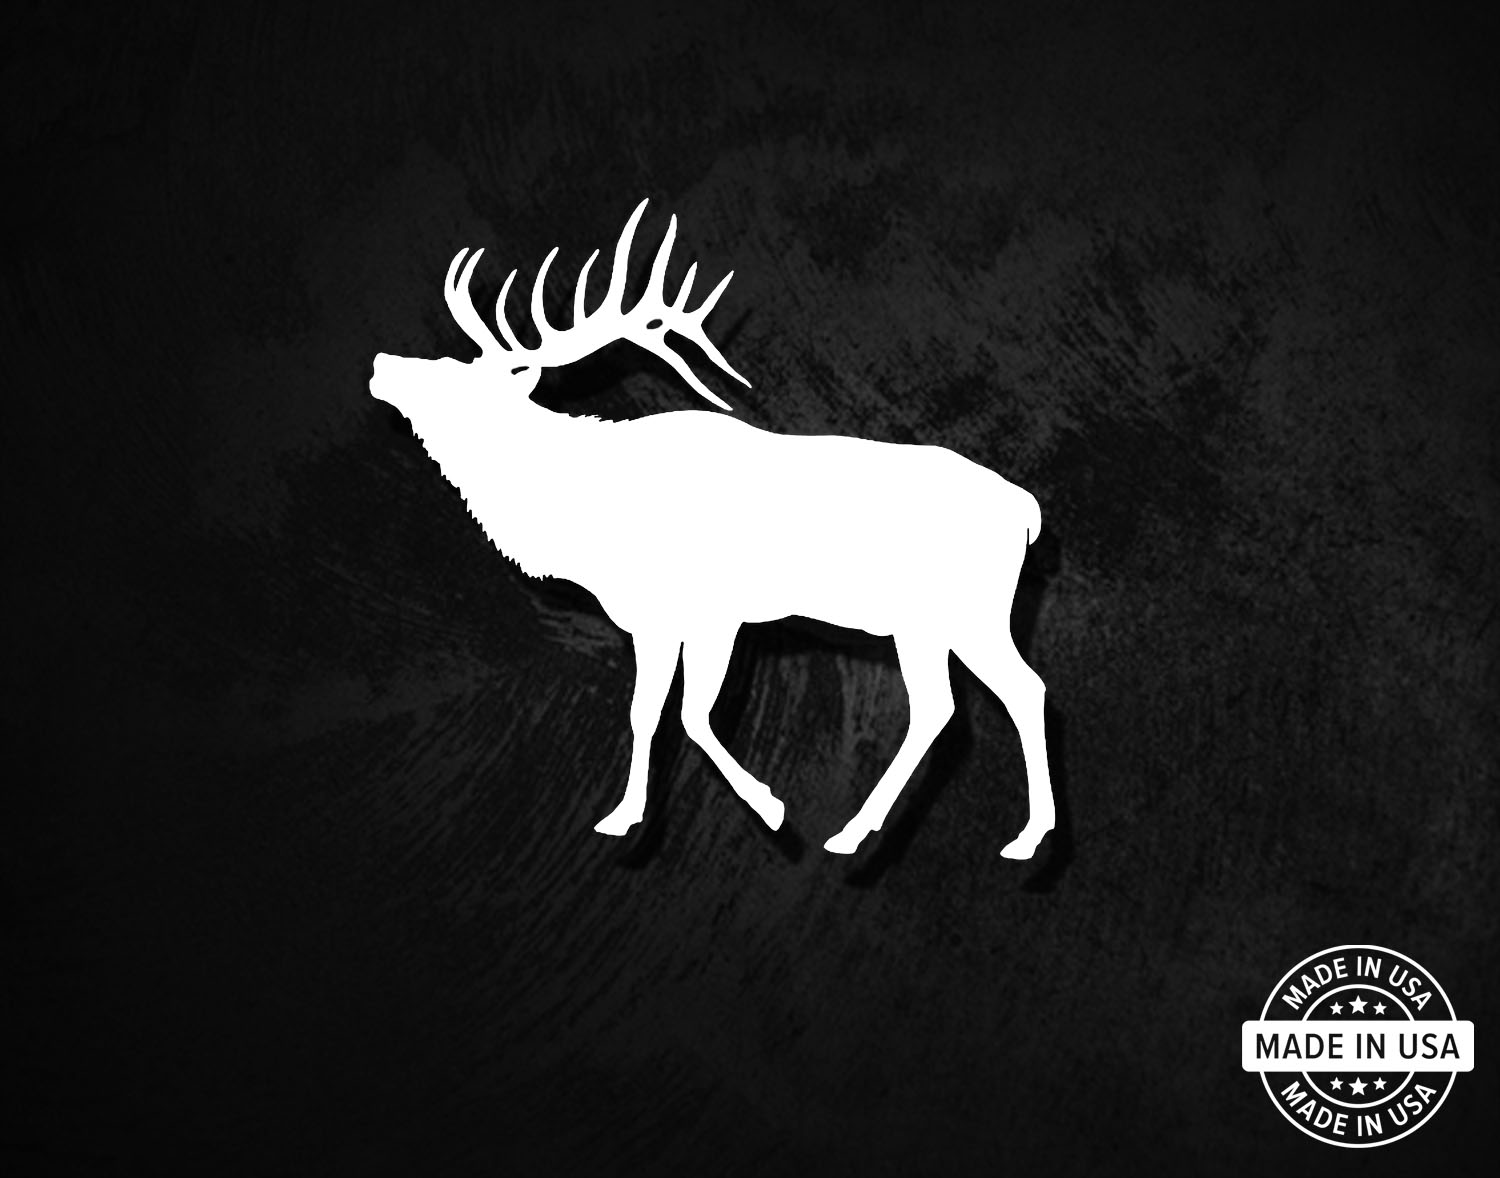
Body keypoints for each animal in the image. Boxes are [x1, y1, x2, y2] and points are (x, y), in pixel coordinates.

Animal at [369, 199, 1054, 858]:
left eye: (453, 378)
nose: (380, 361)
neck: (587, 522)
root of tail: (1026, 509)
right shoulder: (654, 620)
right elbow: (646, 714)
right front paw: (623, 817)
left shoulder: (714, 613)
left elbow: (693, 716)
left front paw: (771, 808)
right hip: (935, 623)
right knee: (973, 698)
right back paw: (940, 833)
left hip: (965, 610)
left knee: (998, 693)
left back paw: (972, 834)